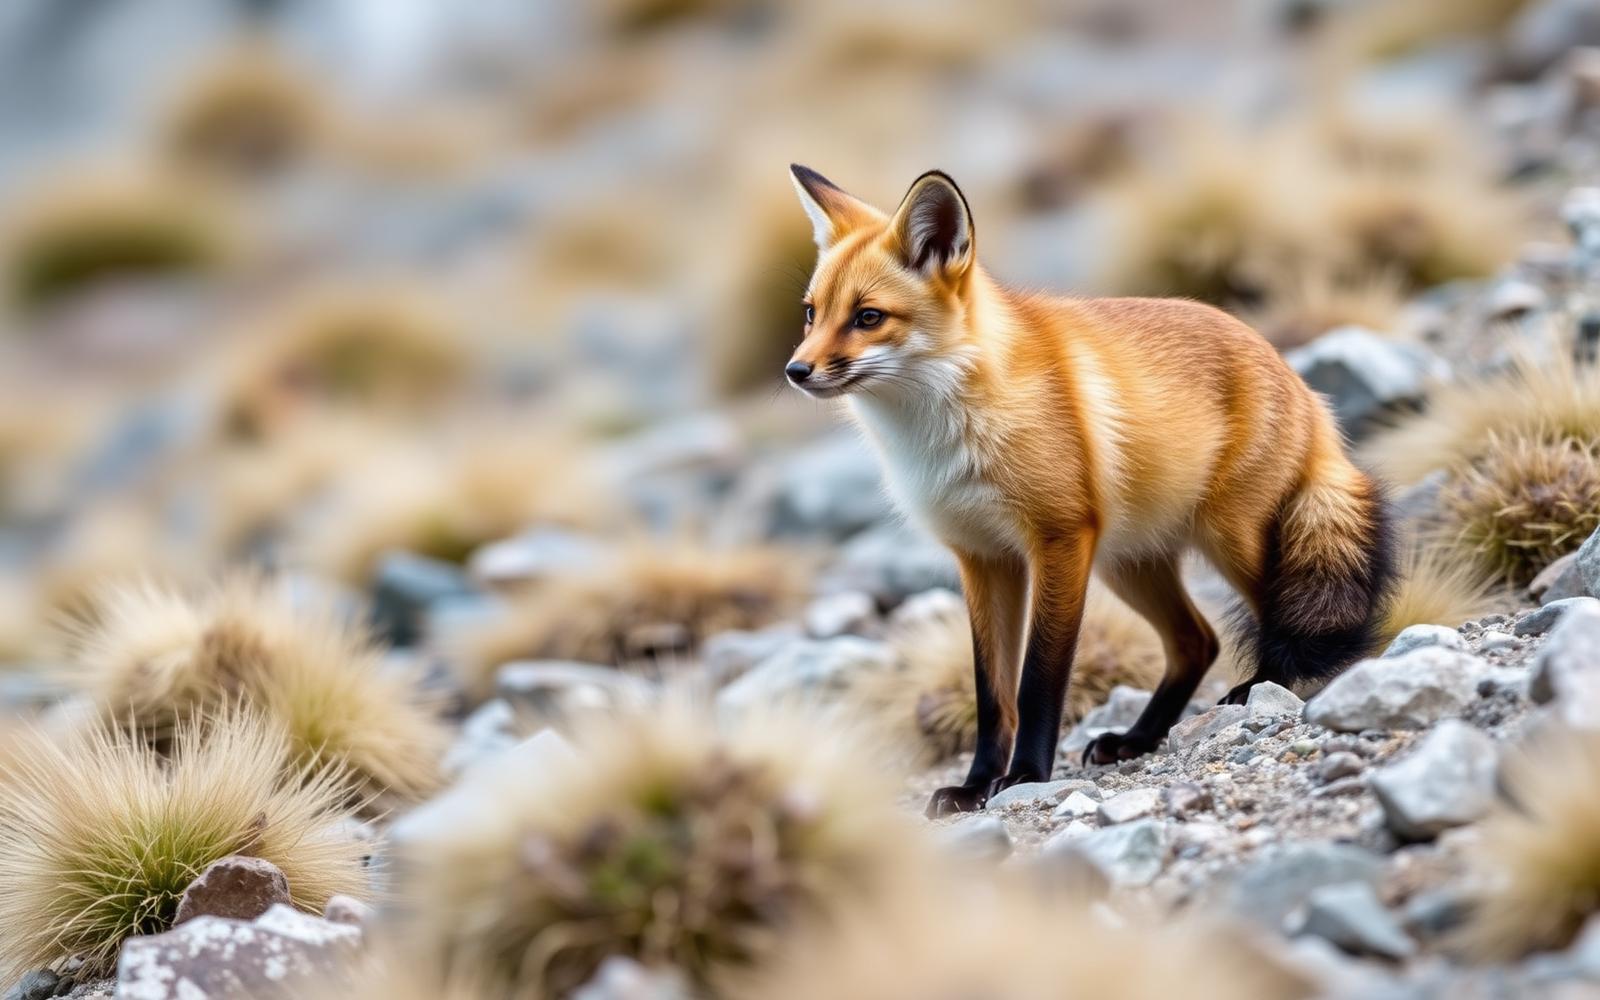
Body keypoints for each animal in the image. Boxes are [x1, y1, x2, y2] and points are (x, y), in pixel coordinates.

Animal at [784, 165, 1396, 817]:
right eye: (811, 314)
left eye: (868, 317)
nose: (796, 371)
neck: (940, 437)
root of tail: (1301, 383)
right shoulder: (982, 557)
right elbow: (991, 693)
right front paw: (976, 785)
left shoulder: (1059, 539)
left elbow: (1038, 680)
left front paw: (1025, 775)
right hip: (1129, 565)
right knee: (1196, 642)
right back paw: (1137, 738)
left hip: (1231, 542)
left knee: (1269, 623)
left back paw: (1255, 691)